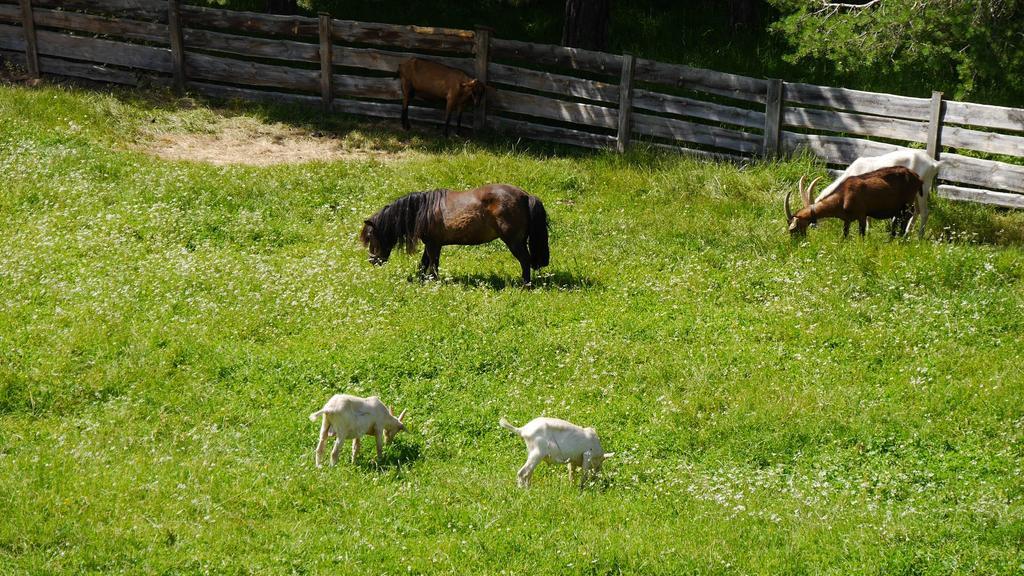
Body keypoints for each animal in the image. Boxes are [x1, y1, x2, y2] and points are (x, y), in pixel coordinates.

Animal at [362, 183, 552, 284]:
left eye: (370, 237)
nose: (372, 261)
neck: (423, 210)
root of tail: (526, 196)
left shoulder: (433, 245)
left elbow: (433, 264)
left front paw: (433, 281)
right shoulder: (432, 244)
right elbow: (425, 263)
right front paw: (422, 279)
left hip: (514, 242)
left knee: (525, 260)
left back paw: (525, 284)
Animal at [786, 165, 925, 236]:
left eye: (793, 229)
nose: (796, 242)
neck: (843, 196)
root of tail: (918, 178)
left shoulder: (862, 215)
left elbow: (861, 234)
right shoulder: (846, 219)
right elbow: (845, 235)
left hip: (907, 201)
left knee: (908, 216)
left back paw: (900, 238)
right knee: (900, 217)